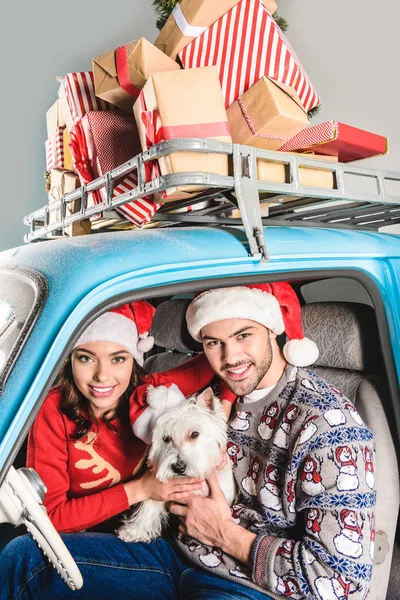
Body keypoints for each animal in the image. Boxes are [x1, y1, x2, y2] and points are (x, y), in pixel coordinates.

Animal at [116, 384, 234, 544]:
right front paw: (132, 532)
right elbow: (148, 508)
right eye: (166, 438)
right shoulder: (165, 493)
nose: (178, 467)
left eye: (194, 434)